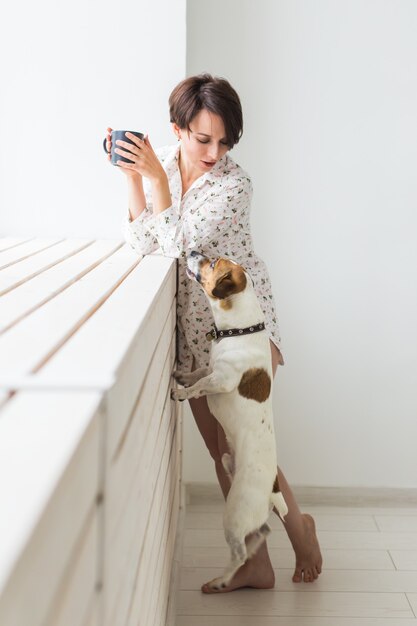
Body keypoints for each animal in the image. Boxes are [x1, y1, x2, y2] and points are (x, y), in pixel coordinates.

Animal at [171, 250, 288, 588]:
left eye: (212, 263)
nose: (192, 251)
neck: (240, 330)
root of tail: (272, 492)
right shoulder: (211, 368)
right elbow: (199, 372)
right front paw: (182, 375)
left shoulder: (221, 380)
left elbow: (199, 386)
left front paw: (181, 391)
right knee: (263, 531)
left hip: (233, 514)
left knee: (240, 552)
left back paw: (221, 581)